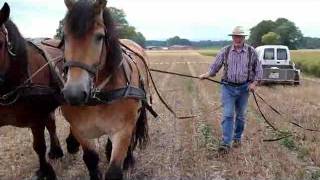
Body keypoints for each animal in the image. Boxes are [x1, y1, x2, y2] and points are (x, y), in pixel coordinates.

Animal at [0, 2, 64, 179]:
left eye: (0, 43)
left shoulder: (36, 118)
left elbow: (39, 146)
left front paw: (45, 171)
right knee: (52, 123)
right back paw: (56, 151)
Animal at [62, 0, 152, 179]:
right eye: (65, 36)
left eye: (99, 37)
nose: (74, 93)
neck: (98, 96)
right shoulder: (79, 130)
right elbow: (91, 159)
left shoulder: (122, 130)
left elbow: (114, 170)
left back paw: (127, 159)